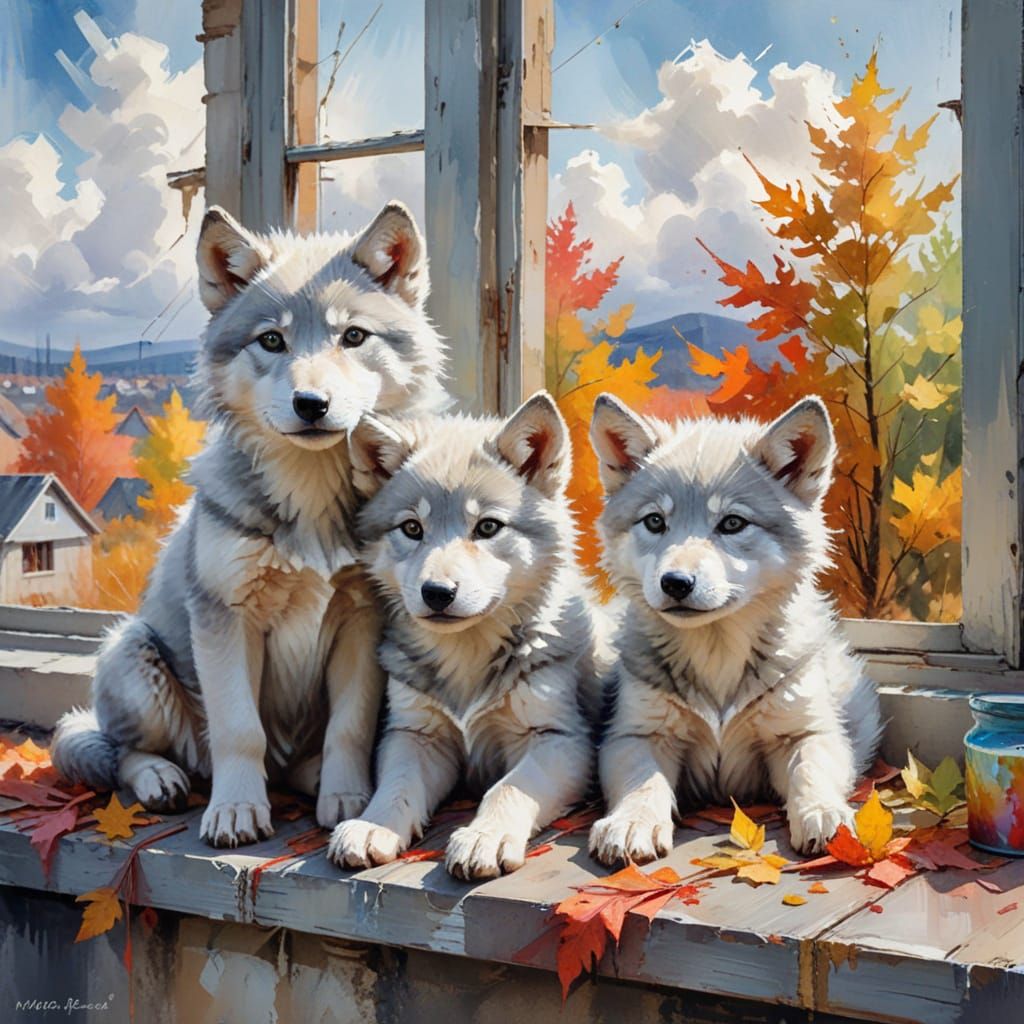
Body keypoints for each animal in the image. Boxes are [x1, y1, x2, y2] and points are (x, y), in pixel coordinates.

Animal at [51, 200, 447, 847]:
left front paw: (347, 798)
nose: (311, 404)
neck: (311, 500)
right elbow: (239, 731)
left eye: (353, 336)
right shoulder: (226, 620)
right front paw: (236, 810)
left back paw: (312, 779)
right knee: (120, 751)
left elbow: (350, 726)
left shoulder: (361, 623)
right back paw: (162, 778)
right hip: (131, 649)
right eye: (272, 340)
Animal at [326, 393, 599, 879]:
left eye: (487, 527)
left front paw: (483, 838)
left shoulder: (560, 739)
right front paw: (372, 827)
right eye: (412, 528)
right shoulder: (414, 735)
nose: (436, 593)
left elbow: (507, 788)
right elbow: (395, 787)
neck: (468, 657)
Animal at [587, 394, 881, 861]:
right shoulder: (636, 734)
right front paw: (632, 823)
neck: (717, 654)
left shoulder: (806, 731)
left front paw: (824, 813)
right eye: (655, 521)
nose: (675, 583)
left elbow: (810, 771)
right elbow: (643, 783)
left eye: (731, 523)